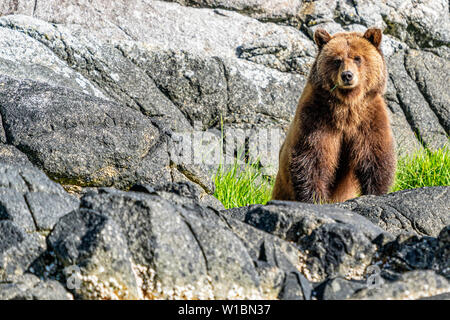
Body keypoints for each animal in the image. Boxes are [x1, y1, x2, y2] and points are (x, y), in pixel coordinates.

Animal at [270, 27, 394, 202]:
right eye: (337, 60)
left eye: (357, 58)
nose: (347, 75)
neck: (347, 107)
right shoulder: (317, 118)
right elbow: (313, 158)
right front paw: (315, 198)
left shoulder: (368, 117)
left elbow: (374, 154)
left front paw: (375, 192)